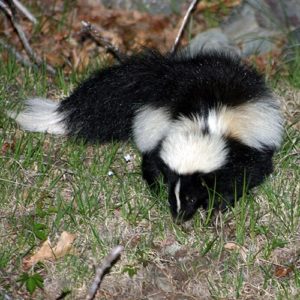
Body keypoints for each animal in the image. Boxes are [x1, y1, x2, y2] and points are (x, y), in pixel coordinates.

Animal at [7, 50, 284, 221]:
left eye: (192, 195)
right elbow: (154, 164)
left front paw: (219, 206)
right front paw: (161, 189)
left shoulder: (240, 150)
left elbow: (241, 178)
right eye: (174, 192)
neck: (203, 126)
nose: (178, 216)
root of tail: (170, 72)